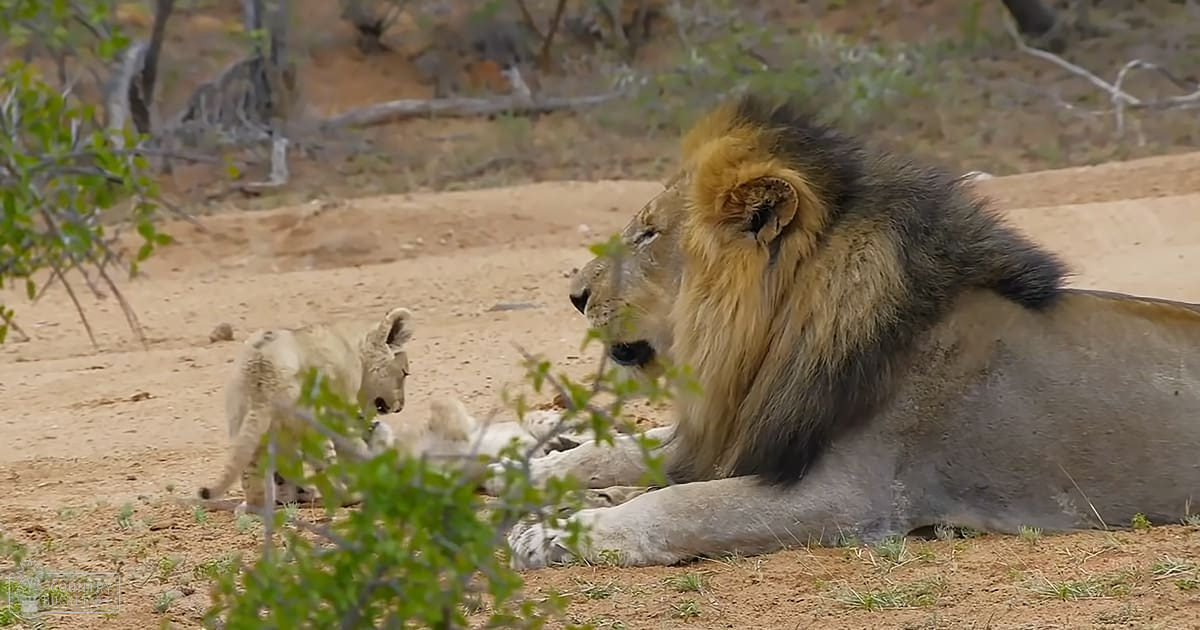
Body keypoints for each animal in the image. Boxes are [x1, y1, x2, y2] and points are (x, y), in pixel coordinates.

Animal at [197, 307, 414, 512]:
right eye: (404, 373)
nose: (400, 407)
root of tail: (263, 367)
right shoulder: (340, 409)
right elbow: (354, 447)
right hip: (309, 420)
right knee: (325, 464)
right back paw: (348, 496)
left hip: (246, 419)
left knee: (253, 467)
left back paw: (258, 506)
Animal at [499, 93, 1200, 569]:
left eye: (648, 234)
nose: (574, 296)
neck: (776, 335)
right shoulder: (741, 430)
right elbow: (615, 449)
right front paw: (528, 472)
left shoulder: (850, 495)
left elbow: (678, 506)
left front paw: (553, 533)